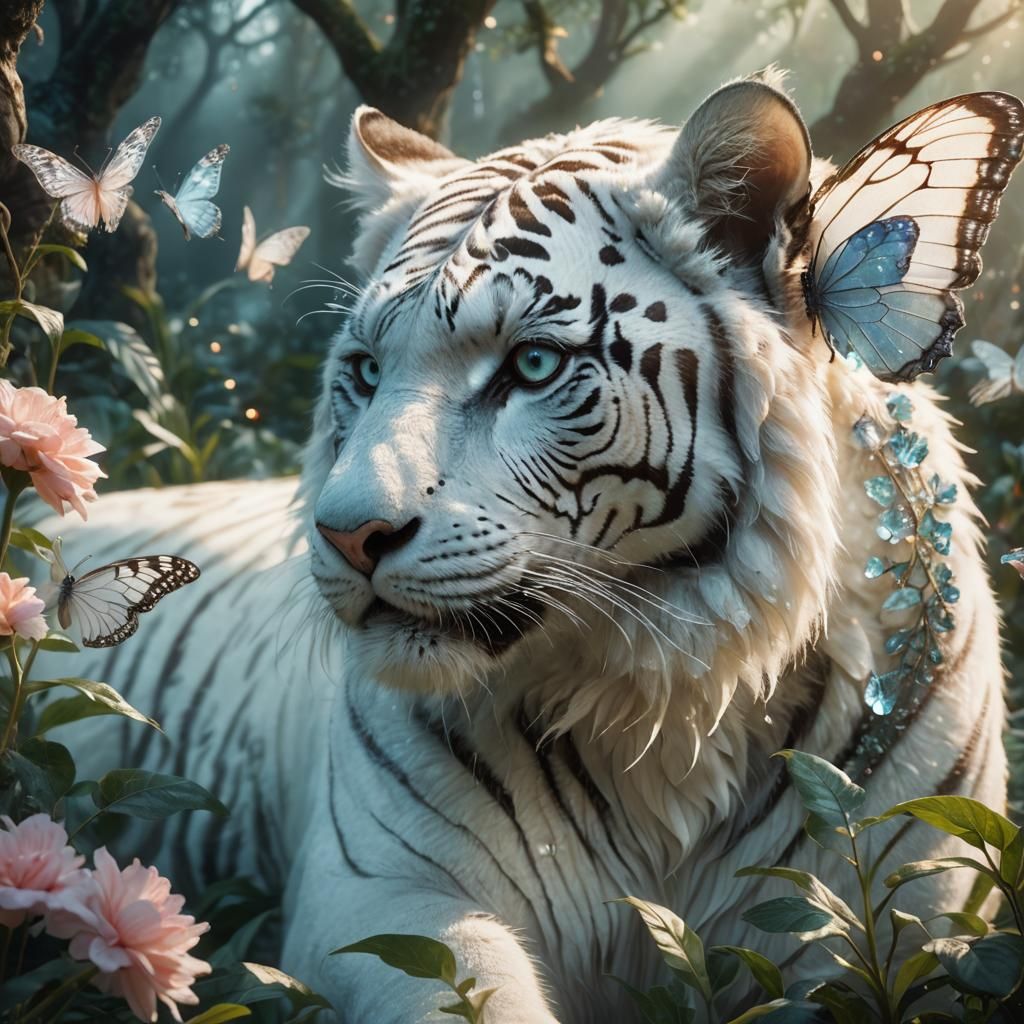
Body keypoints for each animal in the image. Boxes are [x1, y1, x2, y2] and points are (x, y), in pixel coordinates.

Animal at [44, 72, 1017, 1022]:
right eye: (366, 371)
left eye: (534, 366)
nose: (347, 535)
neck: (675, 700)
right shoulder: (378, 894)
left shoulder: (902, 917)